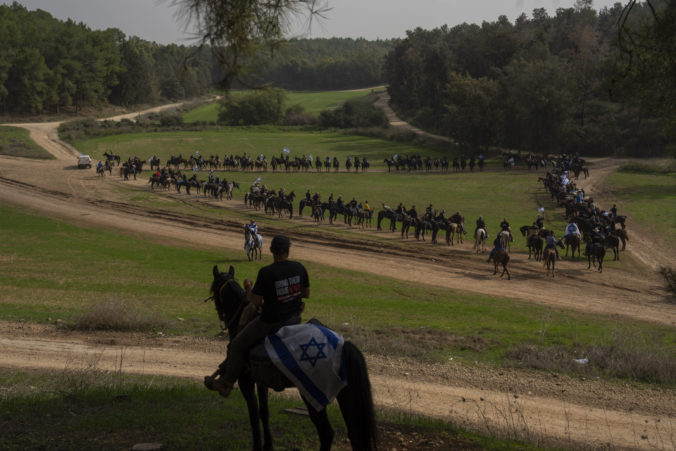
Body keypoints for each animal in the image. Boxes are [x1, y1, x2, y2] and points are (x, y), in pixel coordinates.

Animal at [206, 266, 378, 450]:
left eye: (213, 289)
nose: (221, 315)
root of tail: (345, 346)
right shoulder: (261, 382)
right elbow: (263, 411)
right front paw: (268, 445)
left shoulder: (246, 381)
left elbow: (253, 414)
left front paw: (258, 446)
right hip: (345, 395)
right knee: (355, 434)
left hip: (312, 396)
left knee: (327, 433)